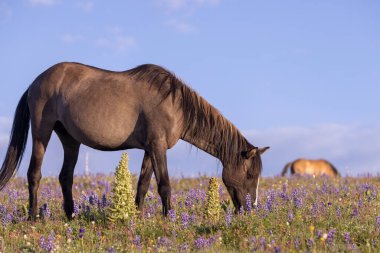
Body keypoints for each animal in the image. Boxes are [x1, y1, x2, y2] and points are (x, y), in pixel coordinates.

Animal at [0, 61, 270, 219]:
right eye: (250, 174)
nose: (251, 209)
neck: (175, 104)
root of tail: (36, 82)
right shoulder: (158, 147)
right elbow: (164, 185)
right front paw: (168, 218)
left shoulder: (150, 149)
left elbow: (143, 185)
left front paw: (135, 216)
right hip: (41, 133)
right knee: (34, 175)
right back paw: (33, 218)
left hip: (70, 140)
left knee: (65, 177)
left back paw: (70, 217)